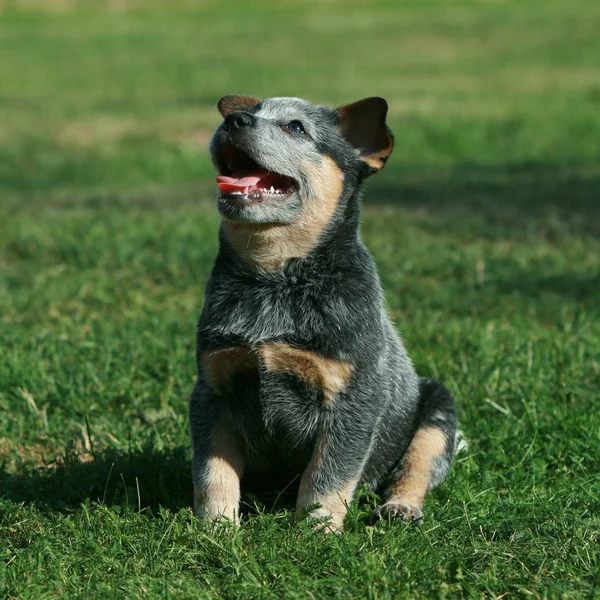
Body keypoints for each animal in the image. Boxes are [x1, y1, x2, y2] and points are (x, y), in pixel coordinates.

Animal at [190, 96, 458, 532]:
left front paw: (317, 529)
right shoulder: (213, 388)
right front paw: (215, 527)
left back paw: (399, 507)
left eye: (296, 127)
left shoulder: (354, 397)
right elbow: (212, 472)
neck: (277, 279)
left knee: (414, 470)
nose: (234, 120)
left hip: (438, 409)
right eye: (253, 110)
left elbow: (327, 475)